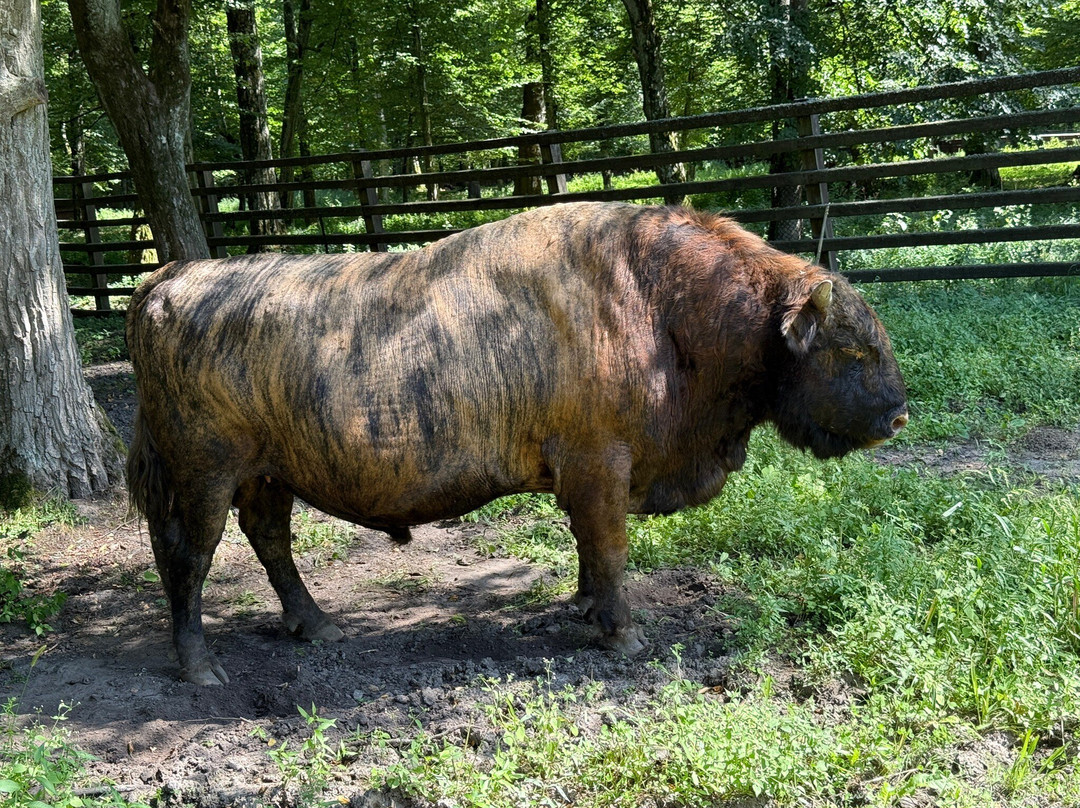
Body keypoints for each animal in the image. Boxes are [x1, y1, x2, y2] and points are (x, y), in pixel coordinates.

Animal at [126, 202, 907, 685]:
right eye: (851, 349)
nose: (899, 417)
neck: (658, 300)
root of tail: (168, 280)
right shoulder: (600, 468)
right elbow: (609, 548)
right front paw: (624, 635)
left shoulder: (588, 478)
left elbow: (591, 551)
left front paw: (586, 609)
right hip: (207, 476)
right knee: (189, 557)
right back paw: (201, 667)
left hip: (267, 474)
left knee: (270, 540)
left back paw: (316, 626)